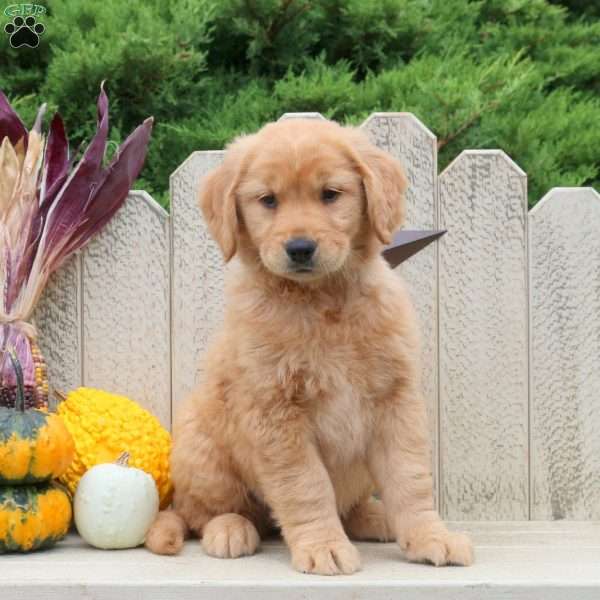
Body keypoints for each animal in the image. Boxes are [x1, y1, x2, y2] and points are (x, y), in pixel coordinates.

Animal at [146, 118, 474, 576]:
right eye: (268, 200)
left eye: (330, 194)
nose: (300, 248)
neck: (322, 302)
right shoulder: (277, 413)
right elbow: (306, 486)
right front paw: (324, 546)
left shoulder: (396, 402)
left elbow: (410, 480)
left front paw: (430, 537)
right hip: (202, 452)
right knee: (202, 512)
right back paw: (229, 529)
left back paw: (373, 517)